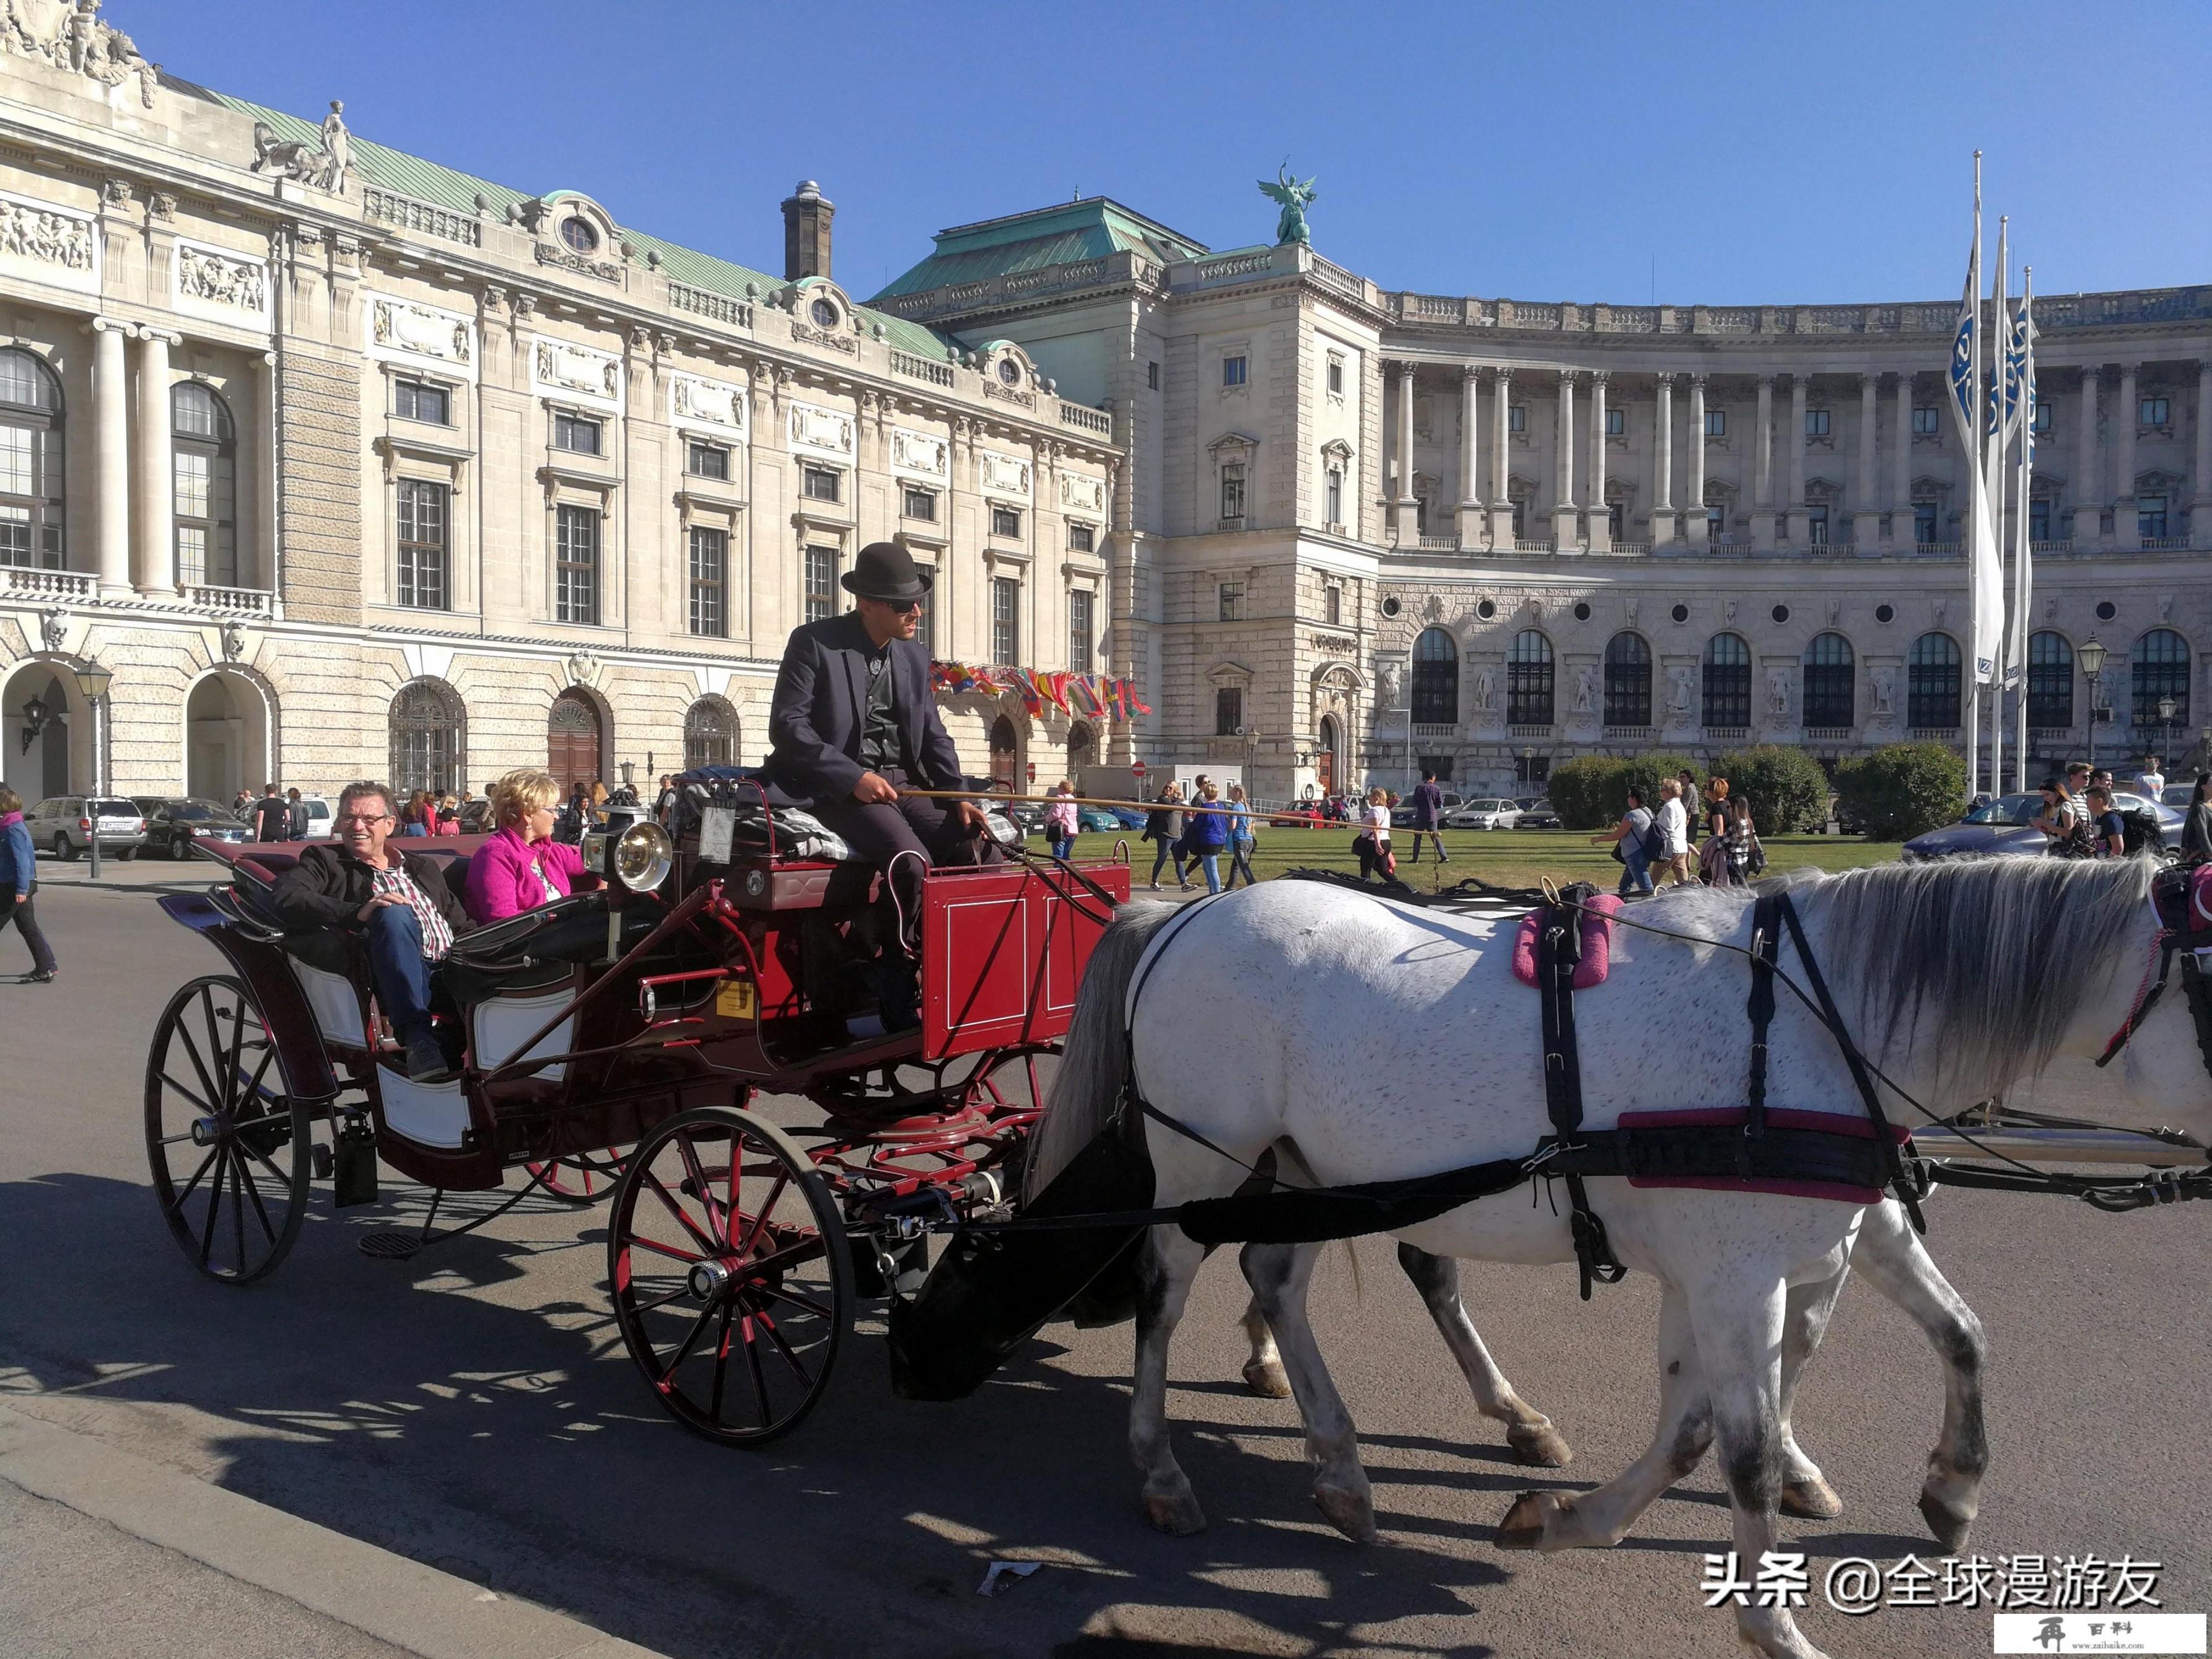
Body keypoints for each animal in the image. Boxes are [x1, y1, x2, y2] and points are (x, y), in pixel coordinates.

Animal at [1026, 858, 2203, 1659]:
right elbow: (1739, 1448)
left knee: (1275, 1283)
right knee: (1163, 1292)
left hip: (1306, 1169)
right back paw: (1165, 1467)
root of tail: (1181, 912)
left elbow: (1934, 1340)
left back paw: (1345, 1467)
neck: (1805, 1022)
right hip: (1204, 1163)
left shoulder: (1788, 1247)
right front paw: (1773, 1620)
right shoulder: (1734, 1273)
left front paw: (1949, 1484)